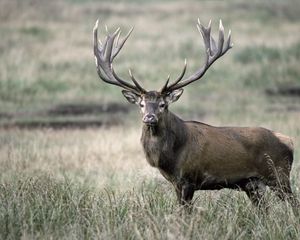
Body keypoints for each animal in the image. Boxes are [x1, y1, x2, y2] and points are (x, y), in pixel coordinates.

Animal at [93, 19, 298, 209]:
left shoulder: (189, 179)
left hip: (278, 174)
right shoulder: (176, 183)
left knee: (294, 204)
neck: (170, 158)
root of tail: (289, 140)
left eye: (163, 104)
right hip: (253, 184)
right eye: (141, 104)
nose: (149, 118)